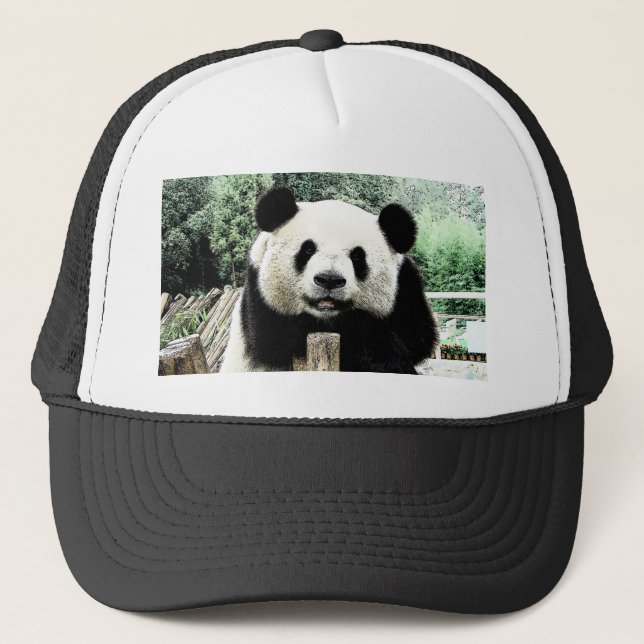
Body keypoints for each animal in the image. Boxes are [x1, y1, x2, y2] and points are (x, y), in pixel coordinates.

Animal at [219, 187, 437, 374]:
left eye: (357, 256)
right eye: (308, 249)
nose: (329, 280)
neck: (328, 319)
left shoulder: (405, 288)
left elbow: (416, 336)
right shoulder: (259, 296)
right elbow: (275, 339)